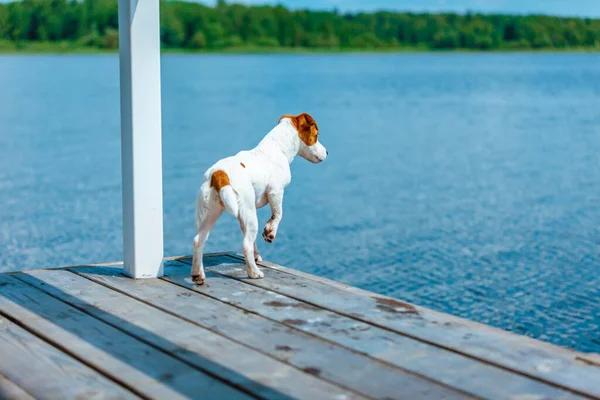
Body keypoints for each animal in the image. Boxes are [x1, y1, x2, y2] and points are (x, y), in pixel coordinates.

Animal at [191, 111, 328, 284]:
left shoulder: (242, 217)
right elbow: (278, 214)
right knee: (245, 245)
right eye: (316, 135)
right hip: (249, 213)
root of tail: (219, 174)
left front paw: (257, 255)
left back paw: (198, 275)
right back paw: (254, 273)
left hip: (209, 214)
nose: (327, 152)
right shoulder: (276, 191)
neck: (278, 147)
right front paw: (270, 232)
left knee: (198, 240)